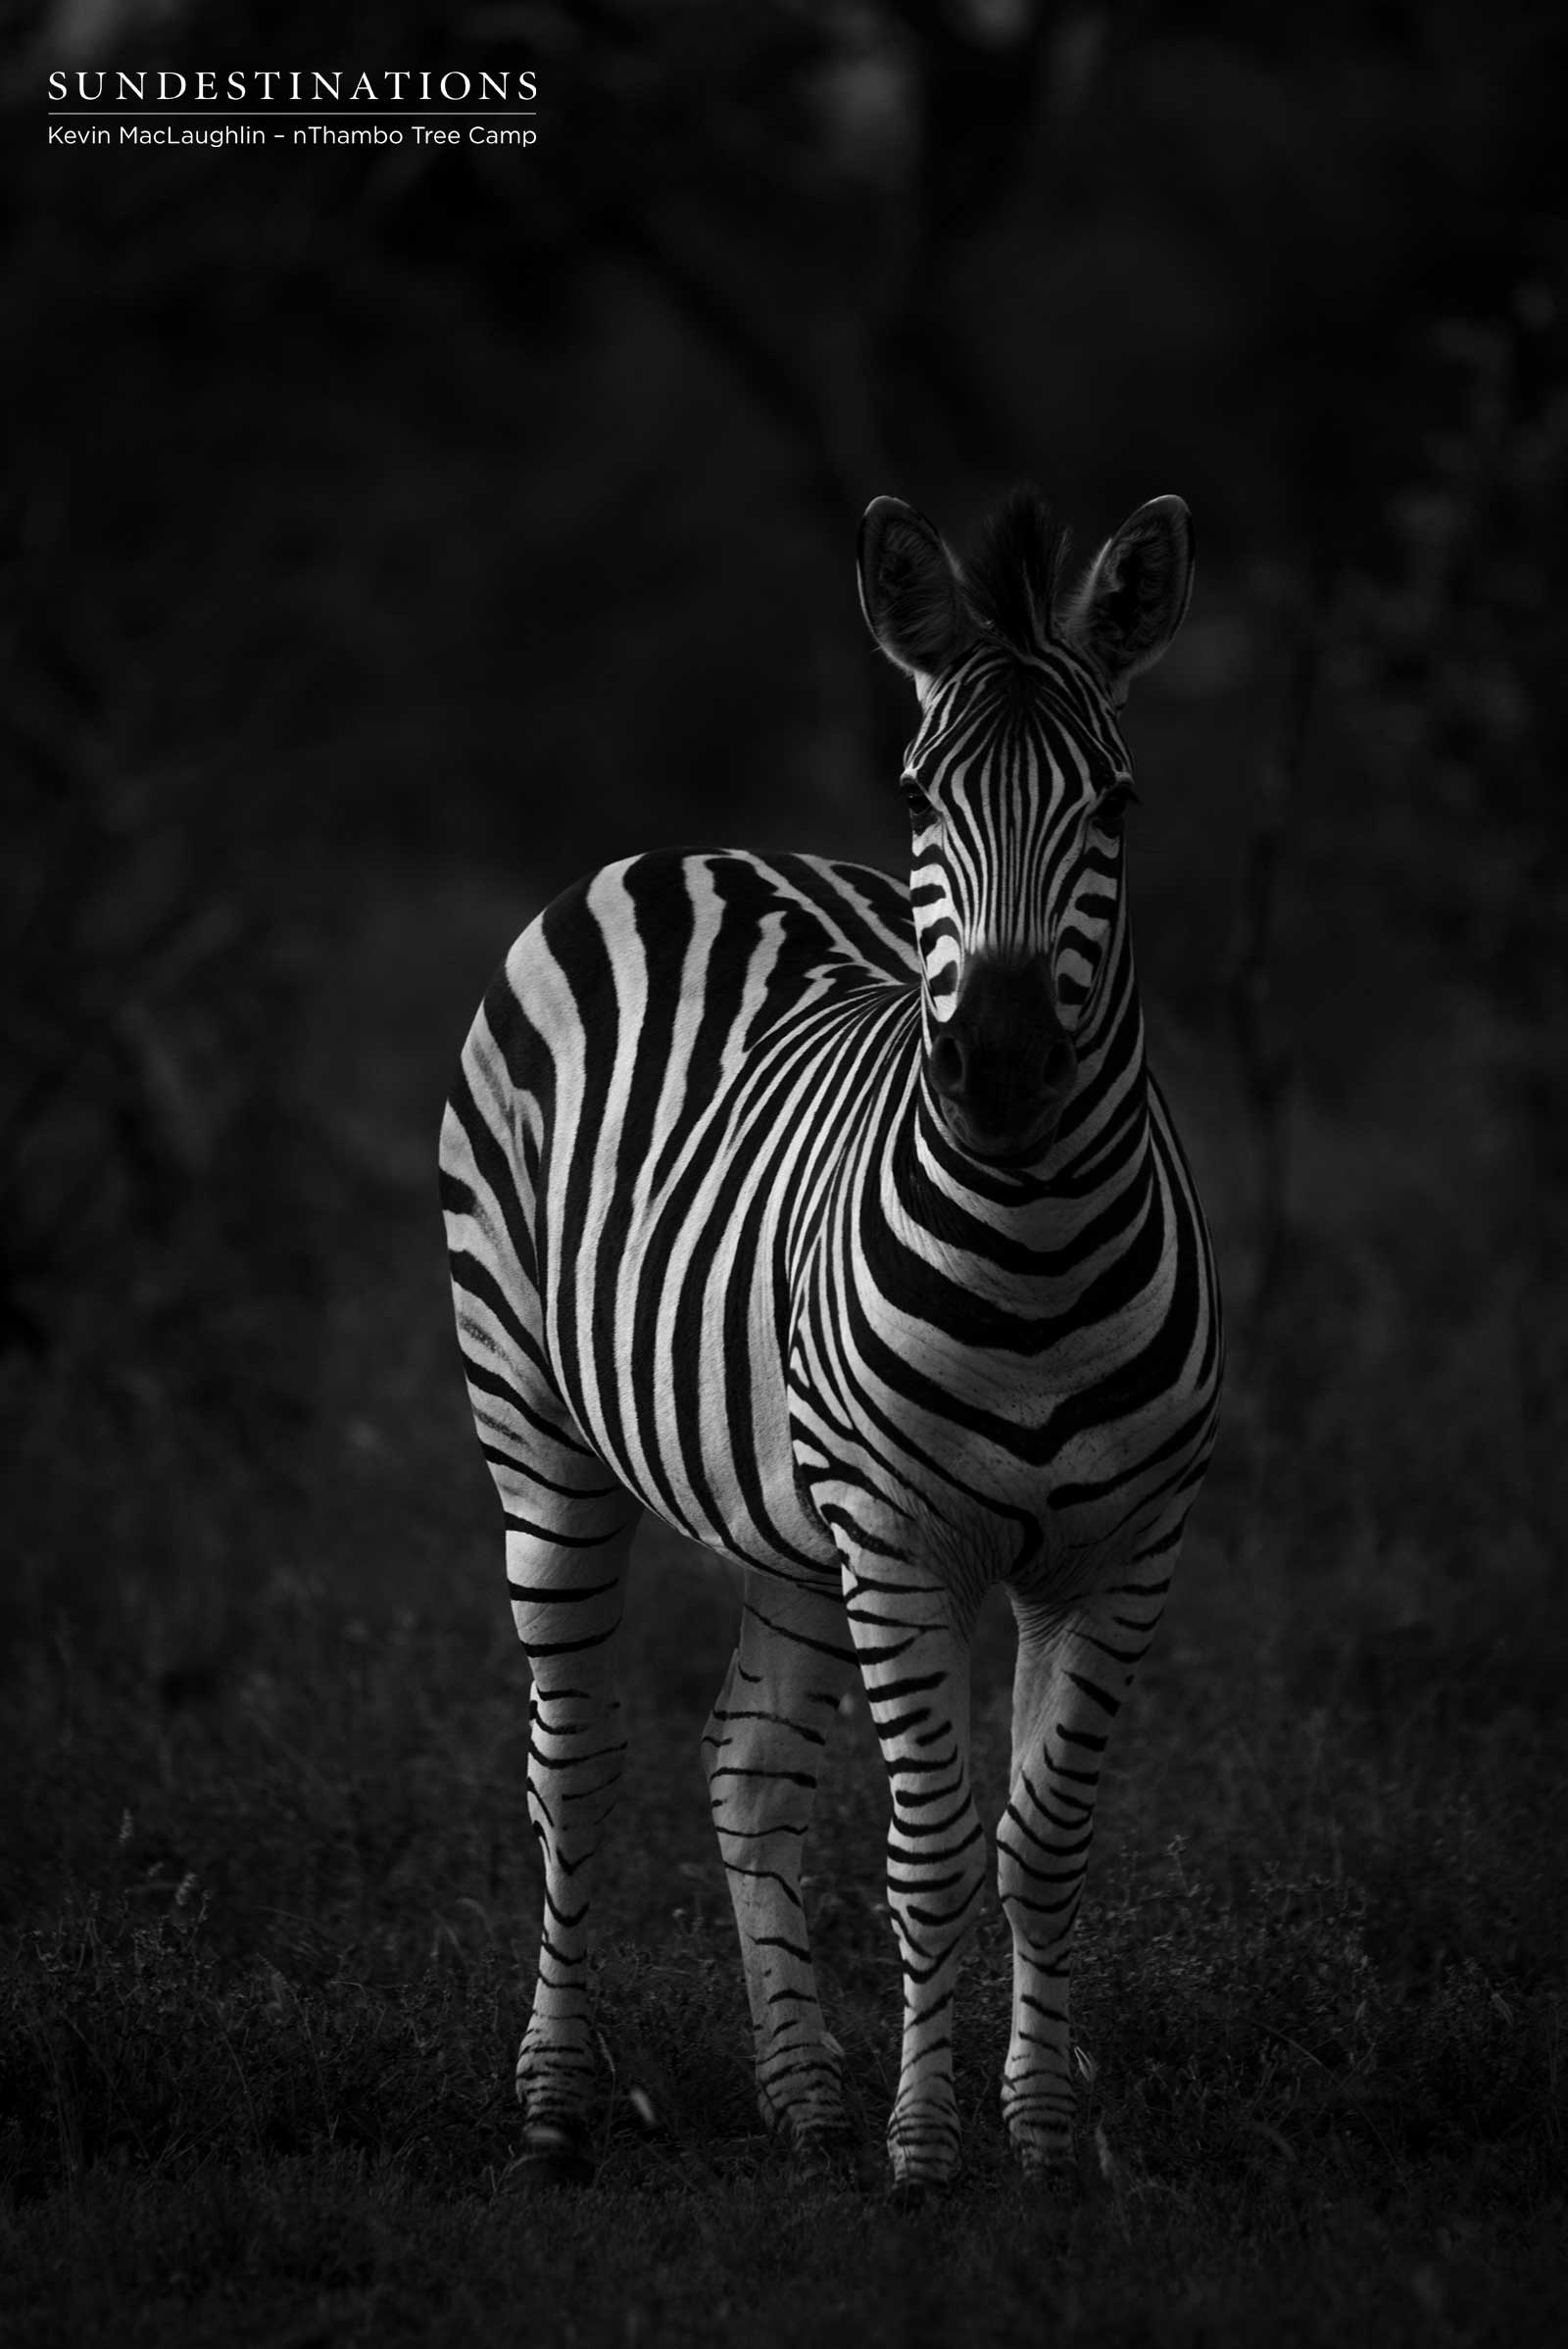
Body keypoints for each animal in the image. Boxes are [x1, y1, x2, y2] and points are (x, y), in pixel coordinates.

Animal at [439, 485, 1222, 2192]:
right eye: (924, 799)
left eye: (1118, 808)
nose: (1002, 1065)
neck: (1034, 1253)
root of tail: (696, 848)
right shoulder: (905, 1535)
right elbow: (930, 1847)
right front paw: (928, 2153)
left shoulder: (1124, 1549)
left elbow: (1041, 1842)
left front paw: (1041, 2140)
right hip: (538, 1431)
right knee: (568, 1765)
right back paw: (557, 2104)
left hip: (791, 1515)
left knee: (745, 1769)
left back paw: (800, 2094)